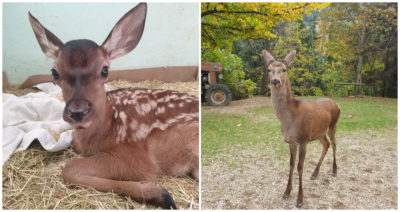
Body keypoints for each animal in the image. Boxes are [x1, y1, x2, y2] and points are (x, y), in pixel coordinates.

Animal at [28, 2, 198, 209]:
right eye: (54, 72)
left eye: (104, 70)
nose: (78, 111)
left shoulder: (136, 157)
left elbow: (69, 169)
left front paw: (158, 194)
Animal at [262, 50, 340, 208]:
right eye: (269, 69)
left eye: (284, 69)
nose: (275, 81)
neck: (289, 121)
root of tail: (338, 105)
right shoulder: (291, 142)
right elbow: (291, 165)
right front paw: (286, 192)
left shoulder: (303, 140)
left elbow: (299, 167)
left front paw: (300, 199)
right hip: (319, 132)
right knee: (326, 144)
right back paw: (315, 173)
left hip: (333, 126)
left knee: (335, 143)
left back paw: (334, 170)